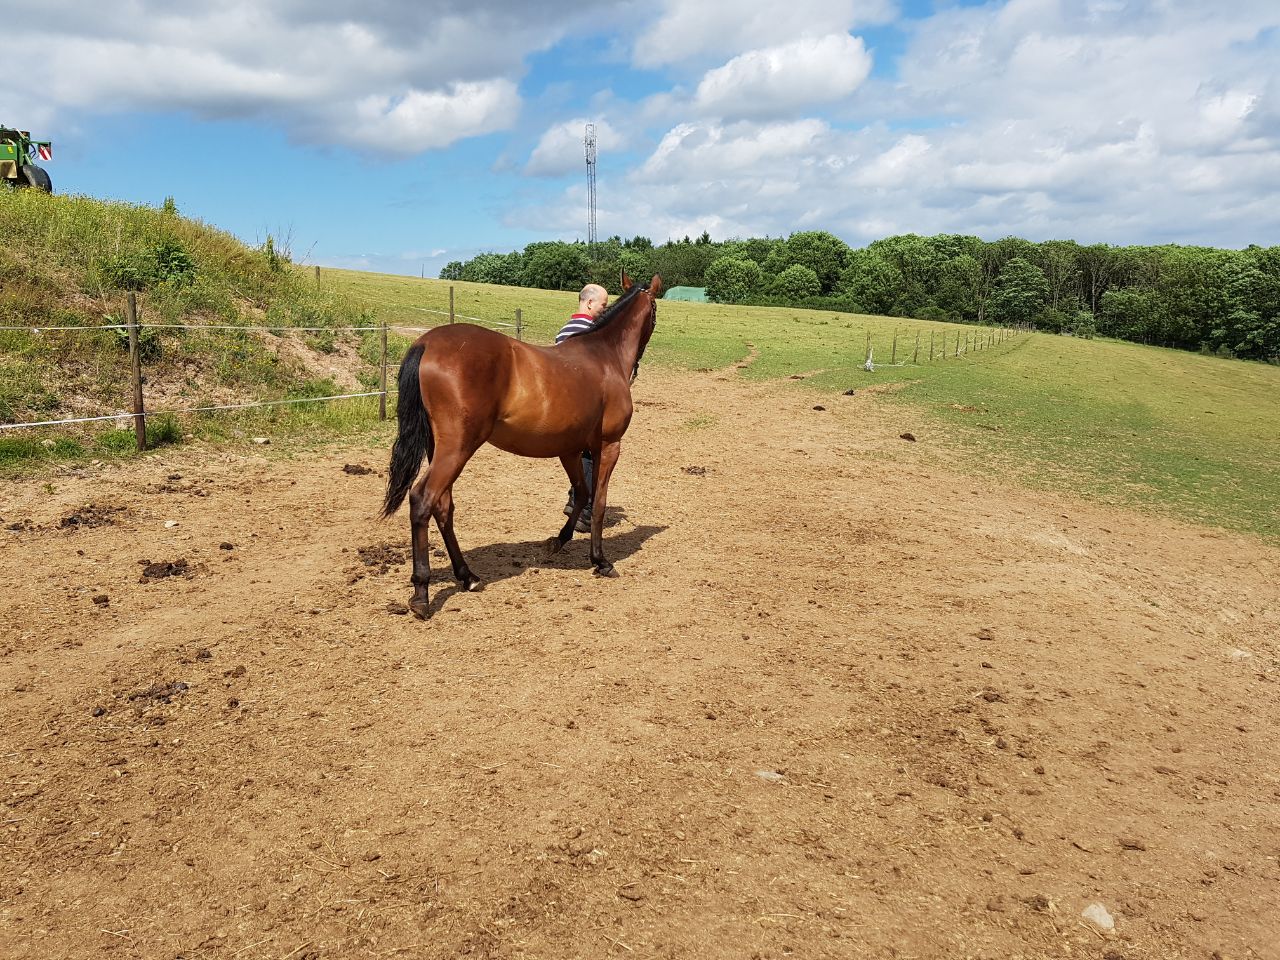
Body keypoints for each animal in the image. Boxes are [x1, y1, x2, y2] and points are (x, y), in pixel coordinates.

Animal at [381, 272, 662, 619]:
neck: (603, 356)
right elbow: (598, 501)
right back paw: (421, 592)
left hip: (442, 451)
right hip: (457, 449)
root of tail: (427, 343)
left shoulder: (569, 449)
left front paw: (558, 541)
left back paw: (468, 576)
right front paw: (600, 561)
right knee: (423, 500)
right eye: (655, 310)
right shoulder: (609, 445)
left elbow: (582, 493)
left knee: (443, 506)